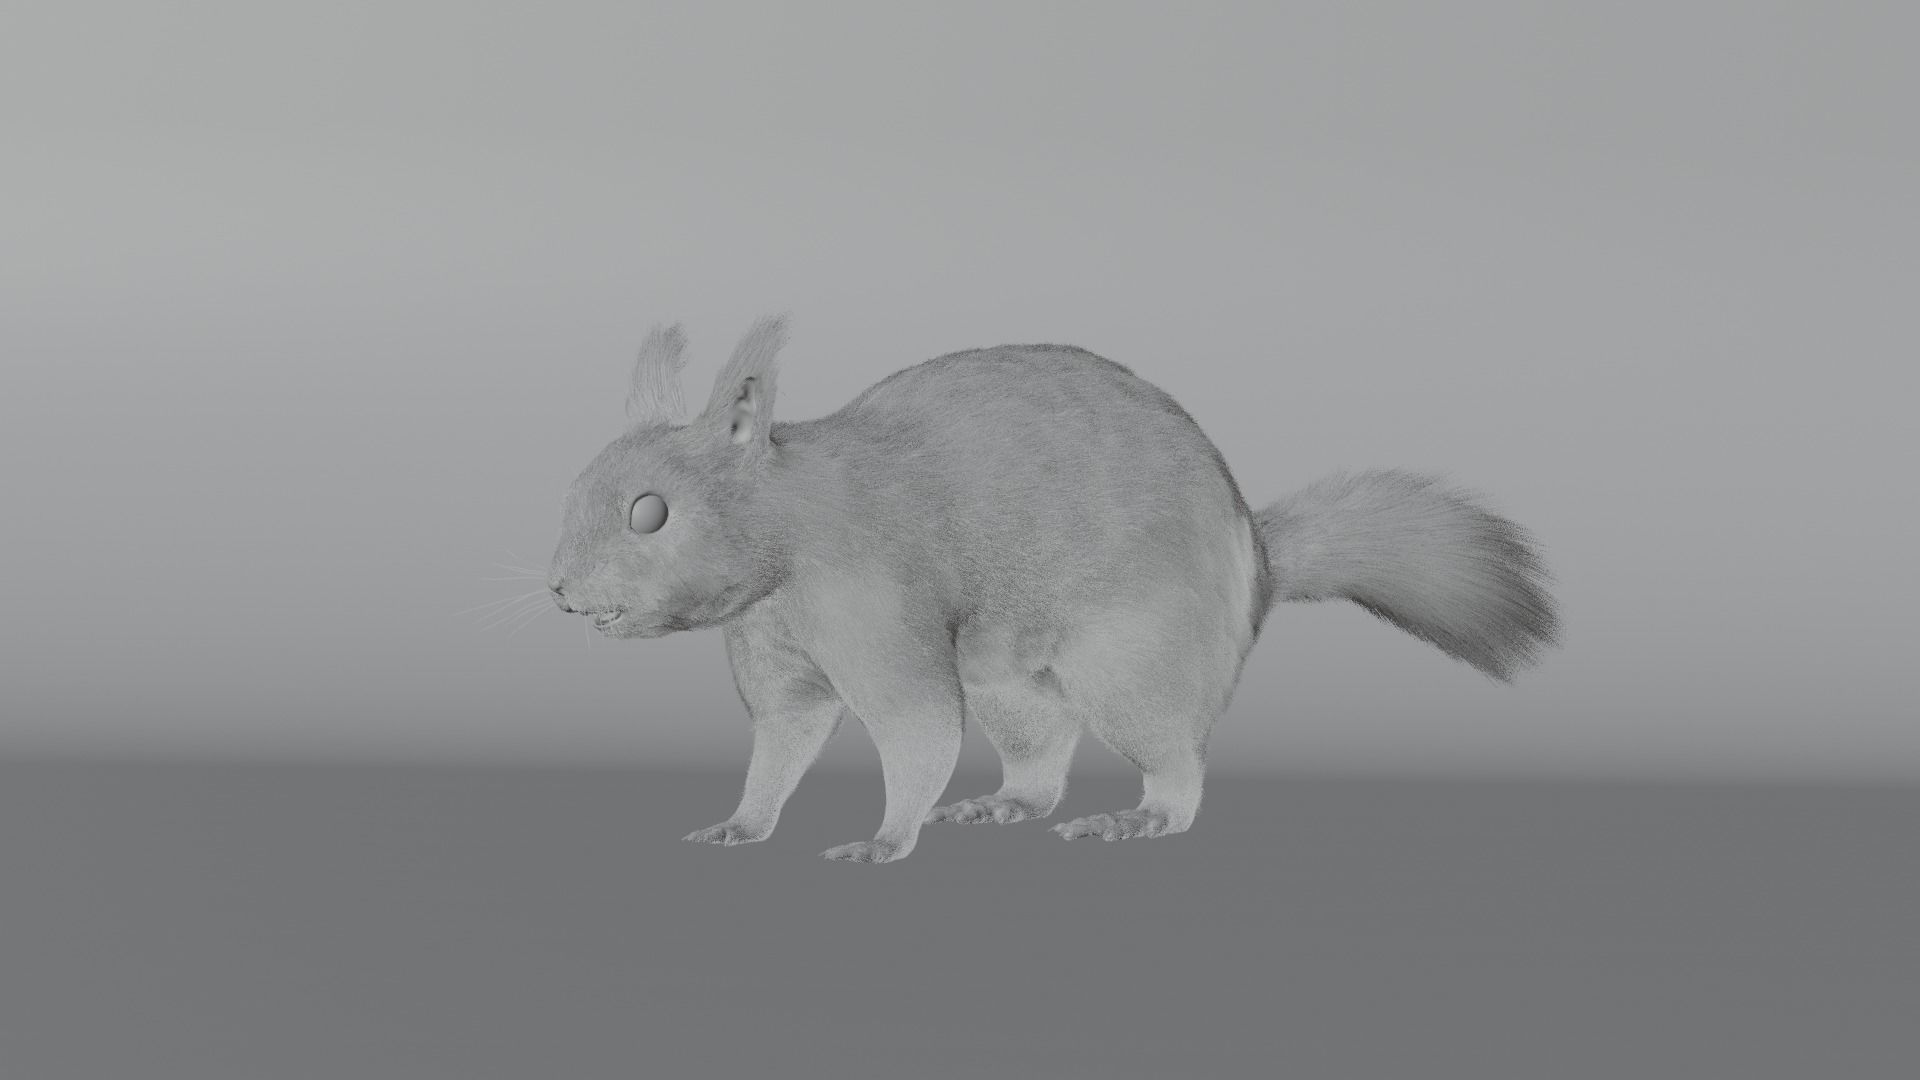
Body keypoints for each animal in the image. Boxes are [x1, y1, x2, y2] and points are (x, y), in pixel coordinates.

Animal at [547, 315, 1559, 863]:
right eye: (576, 487)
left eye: (650, 513)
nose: (557, 591)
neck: (789, 536)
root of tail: (1256, 561)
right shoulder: (776, 654)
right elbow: (783, 744)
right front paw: (742, 821)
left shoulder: (876, 612)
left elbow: (916, 730)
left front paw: (886, 838)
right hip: (1015, 687)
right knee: (1041, 767)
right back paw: (1003, 803)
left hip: (1132, 669)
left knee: (1177, 770)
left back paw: (1138, 817)